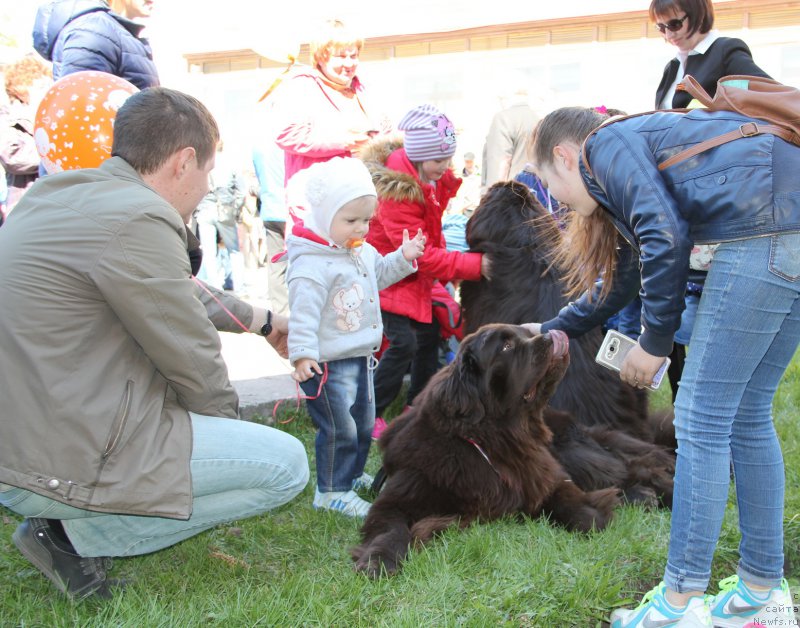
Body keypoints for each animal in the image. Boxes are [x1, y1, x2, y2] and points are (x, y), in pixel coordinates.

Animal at [354, 324, 620, 580]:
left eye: (527, 333)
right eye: (506, 347)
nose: (552, 335)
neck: (496, 442)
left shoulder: (541, 475)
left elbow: (567, 498)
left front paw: (593, 517)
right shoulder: (400, 495)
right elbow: (391, 529)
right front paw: (379, 561)